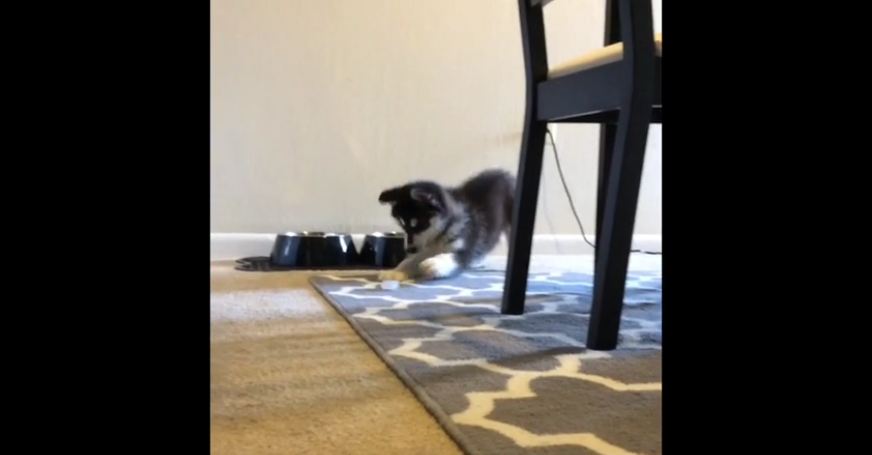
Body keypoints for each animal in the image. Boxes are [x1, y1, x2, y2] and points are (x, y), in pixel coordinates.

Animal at [378, 168, 516, 282]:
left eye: (419, 224)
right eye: (403, 226)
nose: (409, 249)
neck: (441, 233)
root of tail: (505, 173)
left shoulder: (465, 247)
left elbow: (454, 257)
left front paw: (436, 264)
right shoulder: (428, 248)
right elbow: (411, 260)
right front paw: (395, 271)